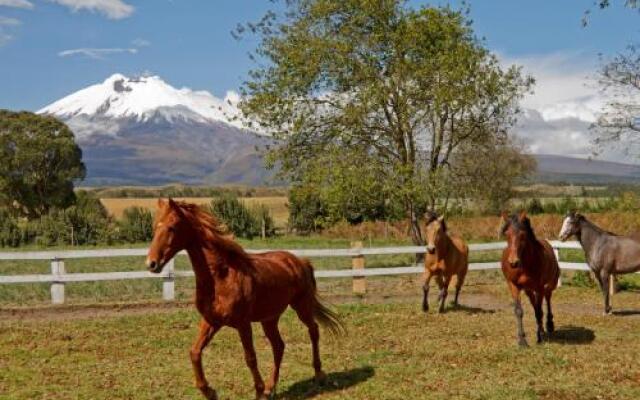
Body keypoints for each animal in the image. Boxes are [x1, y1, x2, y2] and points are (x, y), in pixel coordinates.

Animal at [147, 200, 342, 400]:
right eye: (155, 227)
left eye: (172, 227)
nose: (152, 264)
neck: (220, 276)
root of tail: (300, 261)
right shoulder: (211, 321)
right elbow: (194, 352)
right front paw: (209, 391)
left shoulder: (243, 324)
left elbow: (250, 357)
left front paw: (259, 391)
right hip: (269, 318)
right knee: (279, 346)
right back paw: (271, 387)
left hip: (301, 306)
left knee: (313, 331)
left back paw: (319, 374)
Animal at [500, 211, 560, 346]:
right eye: (507, 234)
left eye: (523, 235)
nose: (513, 262)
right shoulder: (513, 285)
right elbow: (519, 311)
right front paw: (522, 341)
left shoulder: (539, 287)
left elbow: (539, 311)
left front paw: (541, 337)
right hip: (528, 290)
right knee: (535, 304)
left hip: (548, 286)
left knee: (547, 300)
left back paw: (549, 325)